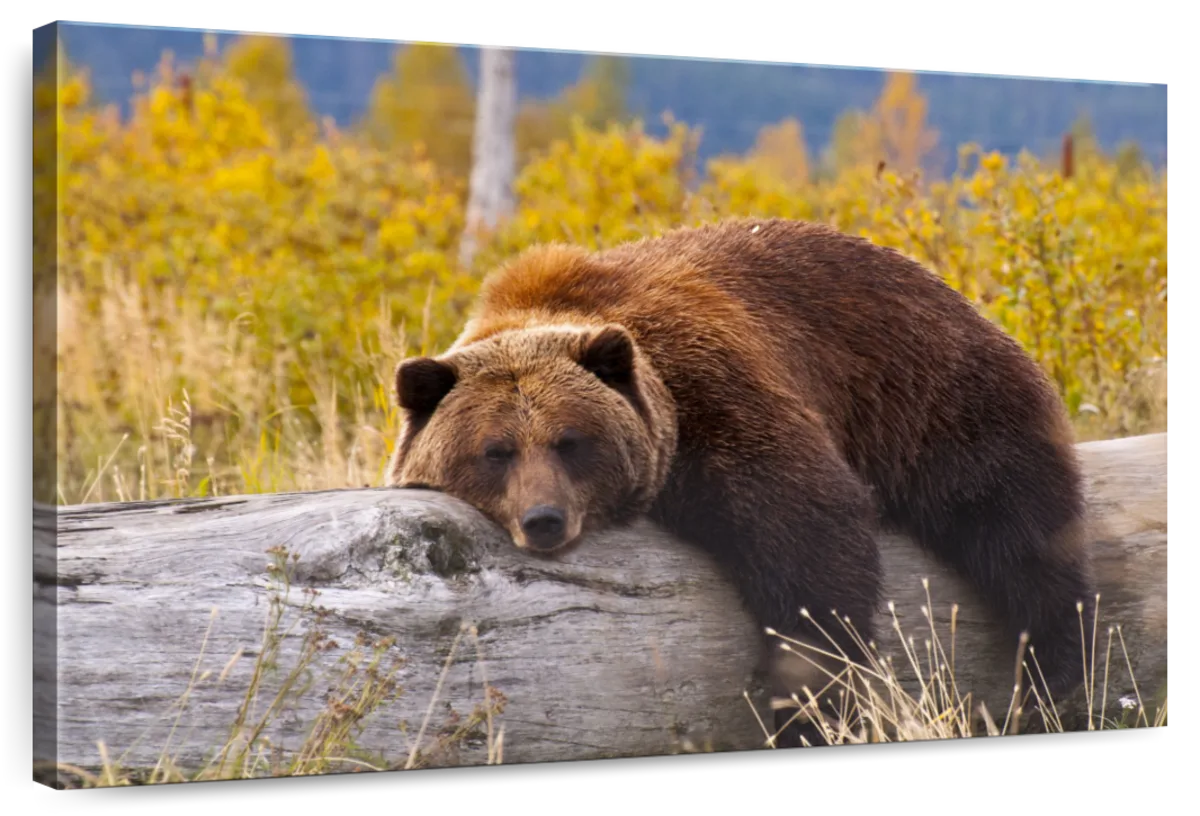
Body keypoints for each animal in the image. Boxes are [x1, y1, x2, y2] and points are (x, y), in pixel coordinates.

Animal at [385, 217, 1097, 748]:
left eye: (570, 441)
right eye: (495, 451)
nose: (544, 519)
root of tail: (950, 290)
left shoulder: (714, 390)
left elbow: (809, 537)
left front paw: (812, 702)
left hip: (934, 398)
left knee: (1018, 530)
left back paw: (1055, 671)